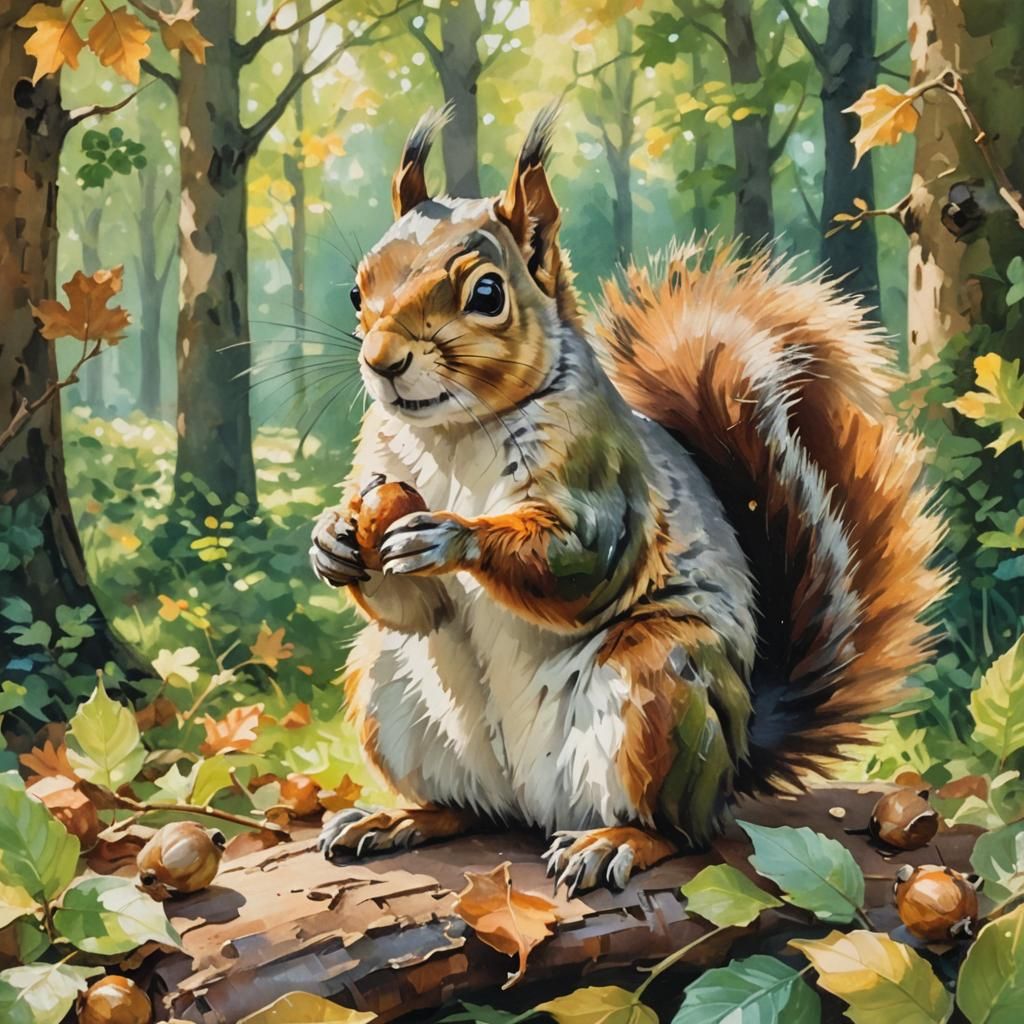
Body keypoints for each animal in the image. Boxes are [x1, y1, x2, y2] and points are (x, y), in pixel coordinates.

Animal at [310, 105, 946, 895]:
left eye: (487, 294)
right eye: (356, 291)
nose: (382, 363)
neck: (456, 433)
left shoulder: (605, 482)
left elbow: (579, 565)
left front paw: (452, 537)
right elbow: (418, 608)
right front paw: (332, 540)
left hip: (658, 690)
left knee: (681, 830)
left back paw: (612, 841)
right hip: (391, 687)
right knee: (469, 808)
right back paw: (399, 817)